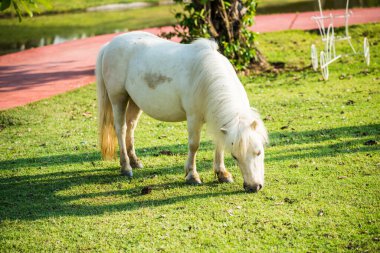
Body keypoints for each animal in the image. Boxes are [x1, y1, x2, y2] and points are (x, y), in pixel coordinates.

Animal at [95, 32, 268, 194]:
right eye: (235, 156)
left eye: (259, 152)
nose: (253, 187)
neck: (206, 77)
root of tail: (109, 45)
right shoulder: (193, 118)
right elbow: (194, 145)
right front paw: (192, 175)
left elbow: (219, 143)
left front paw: (222, 174)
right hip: (118, 98)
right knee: (121, 129)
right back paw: (126, 167)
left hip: (134, 102)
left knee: (130, 128)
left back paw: (135, 162)